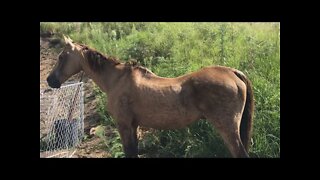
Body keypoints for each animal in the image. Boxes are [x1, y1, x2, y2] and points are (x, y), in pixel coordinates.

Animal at [47, 36, 255, 158]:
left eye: (61, 57)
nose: (50, 80)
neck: (116, 79)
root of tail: (233, 72)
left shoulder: (124, 125)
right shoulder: (134, 126)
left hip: (227, 128)